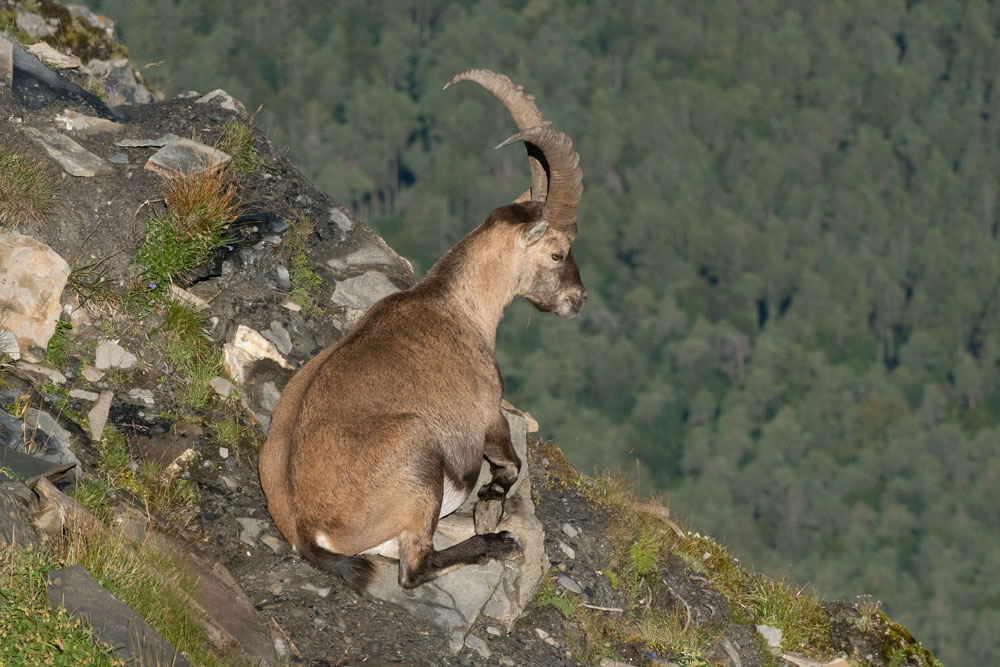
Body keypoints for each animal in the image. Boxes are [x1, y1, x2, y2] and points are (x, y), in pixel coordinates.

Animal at [258, 70, 585, 590]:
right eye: (557, 252)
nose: (578, 299)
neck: (456, 307)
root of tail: (309, 528)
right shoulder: (488, 414)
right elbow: (510, 465)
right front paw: (490, 504)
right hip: (420, 465)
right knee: (415, 567)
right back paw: (495, 543)